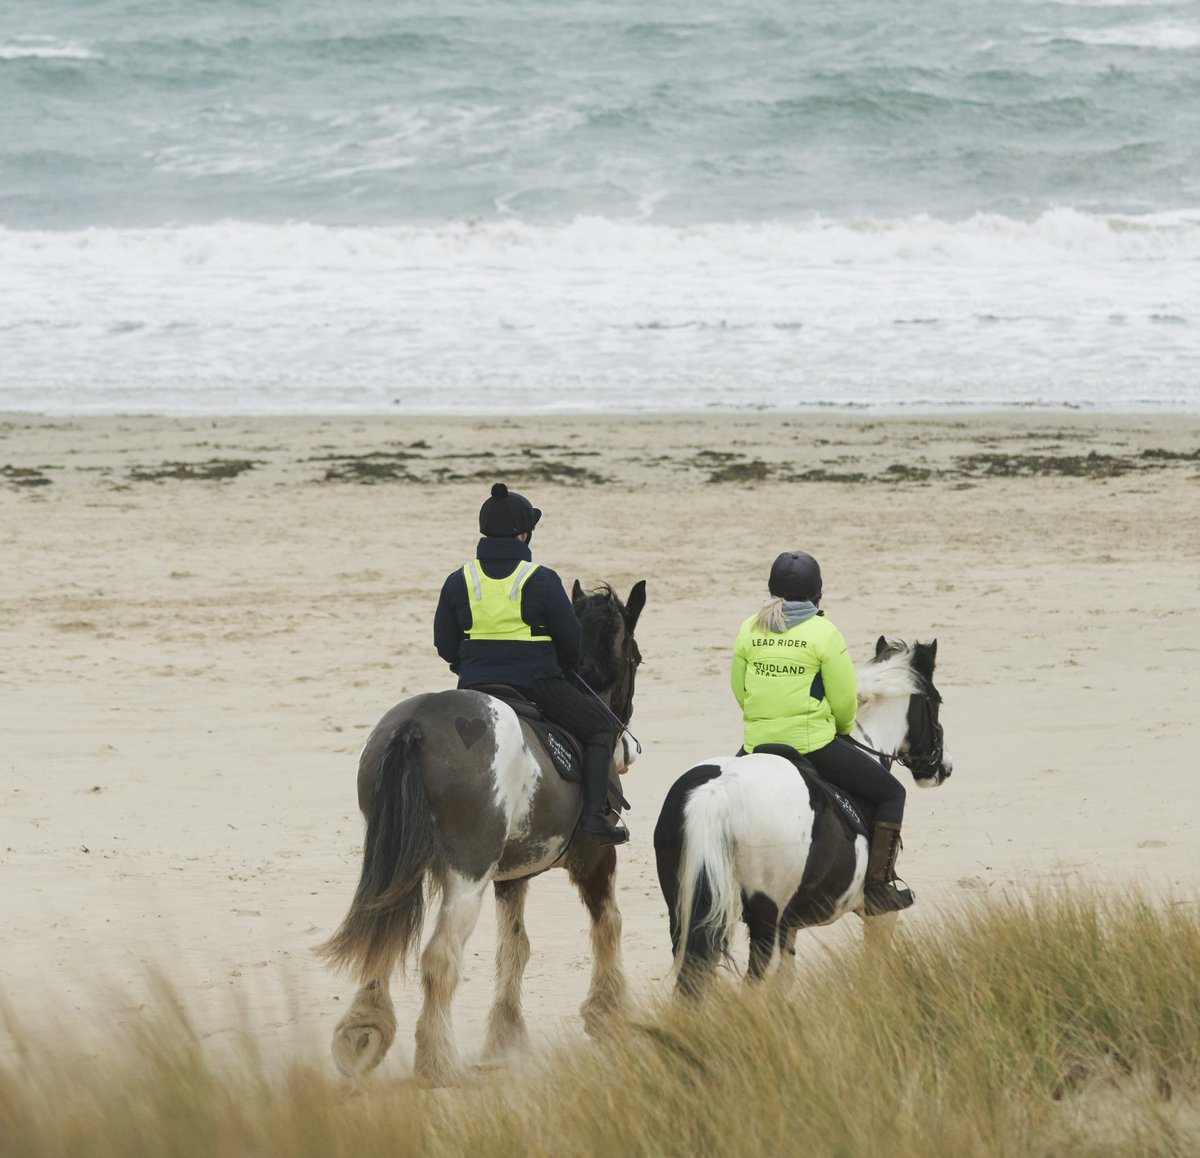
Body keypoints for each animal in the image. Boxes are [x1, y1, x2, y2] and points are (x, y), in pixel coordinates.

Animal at [314, 578, 643, 1084]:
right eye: (636, 659)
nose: (625, 748)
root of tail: (416, 726)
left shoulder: (511, 876)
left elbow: (514, 947)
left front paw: (505, 1037)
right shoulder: (595, 857)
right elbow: (608, 924)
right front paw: (608, 1013)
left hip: (398, 868)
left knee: (381, 943)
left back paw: (364, 1032)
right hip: (466, 875)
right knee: (439, 959)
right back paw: (438, 1063)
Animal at [652, 633, 950, 993]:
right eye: (937, 701)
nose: (942, 768)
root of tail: (717, 793)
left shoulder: (789, 925)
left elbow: (786, 982)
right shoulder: (877, 912)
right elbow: (876, 967)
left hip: (683, 911)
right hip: (765, 915)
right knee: (753, 983)